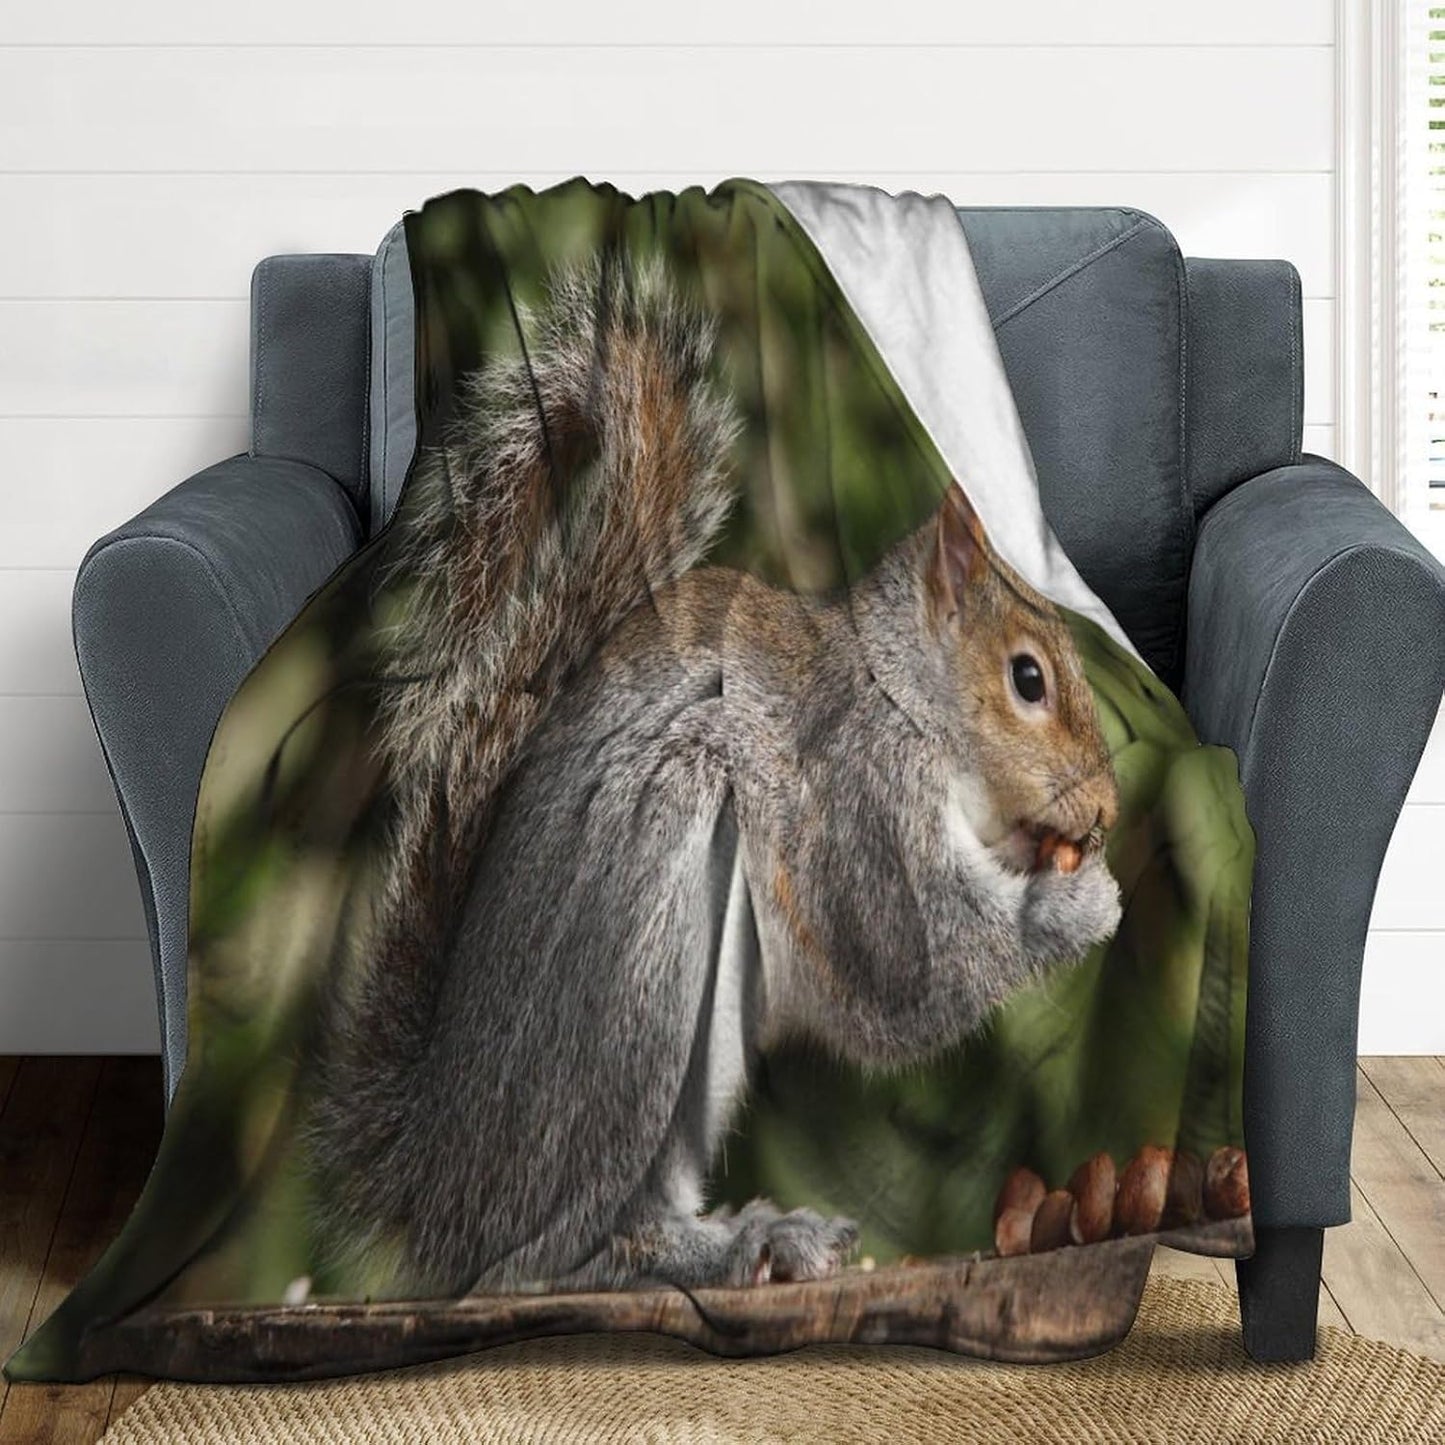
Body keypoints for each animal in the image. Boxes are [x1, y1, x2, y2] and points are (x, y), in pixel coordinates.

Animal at [307, 259, 1122, 1297]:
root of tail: (441, 1180)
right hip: (644, 960)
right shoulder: (852, 787)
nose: (1105, 811)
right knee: (548, 1260)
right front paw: (1077, 904)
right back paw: (705, 1247)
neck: (899, 691)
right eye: (1027, 678)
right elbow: (905, 962)